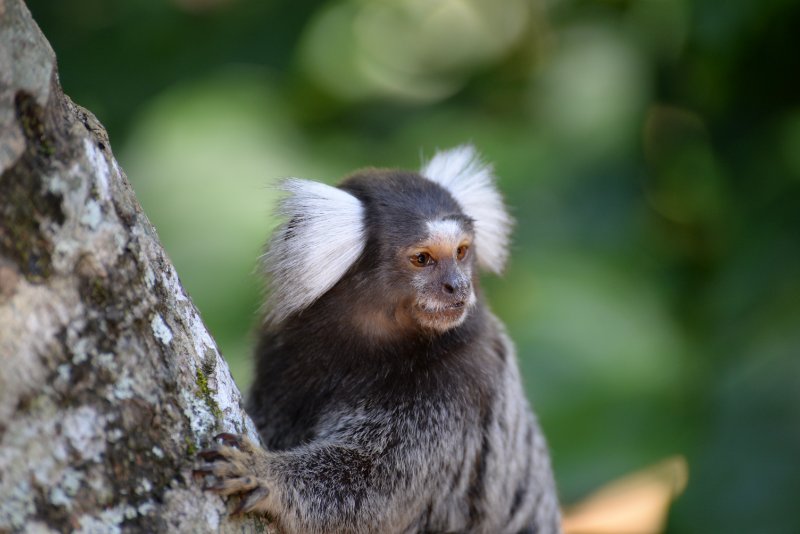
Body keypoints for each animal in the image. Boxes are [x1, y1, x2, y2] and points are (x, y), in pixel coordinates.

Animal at [198, 147, 564, 534]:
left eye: (462, 252)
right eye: (422, 259)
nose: (457, 286)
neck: (367, 353)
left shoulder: (458, 386)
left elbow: (378, 489)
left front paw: (267, 475)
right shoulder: (280, 352)